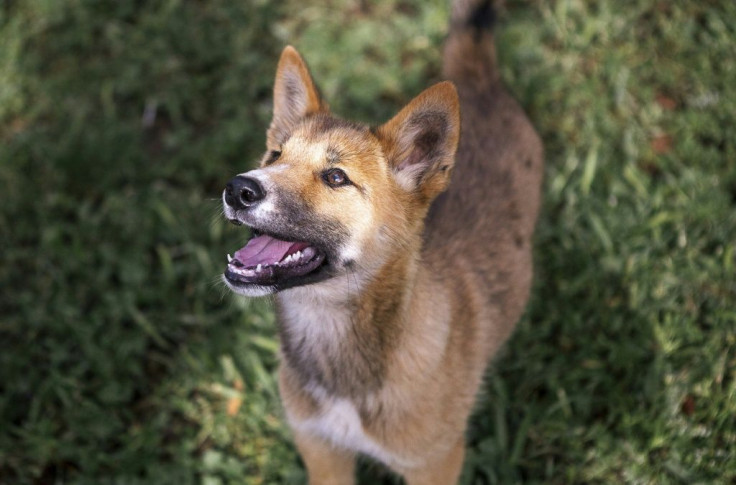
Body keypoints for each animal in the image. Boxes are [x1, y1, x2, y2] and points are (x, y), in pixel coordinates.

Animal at [221, 0, 544, 480]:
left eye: (336, 177)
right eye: (275, 155)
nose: (238, 188)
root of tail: (477, 82)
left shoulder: (433, 464)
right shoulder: (321, 452)